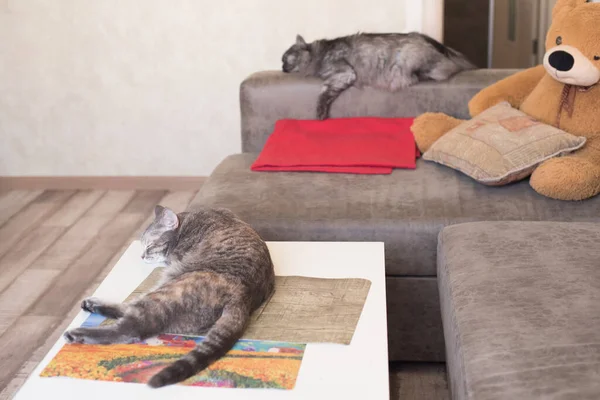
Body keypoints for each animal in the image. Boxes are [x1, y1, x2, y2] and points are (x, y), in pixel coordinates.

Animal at [62, 206, 274, 388]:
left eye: (149, 246)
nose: (141, 257)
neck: (187, 221)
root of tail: (242, 296)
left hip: (168, 290)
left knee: (129, 329)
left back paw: (79, 333)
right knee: (129, 312)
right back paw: (93, 305)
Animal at [280, 32, 474, 119]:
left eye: (285, 59)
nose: (281, 68)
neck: (318, 54)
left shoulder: (344, 73)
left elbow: (323, 92)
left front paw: (320, 115)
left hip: (412, 61)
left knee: (447, 70)